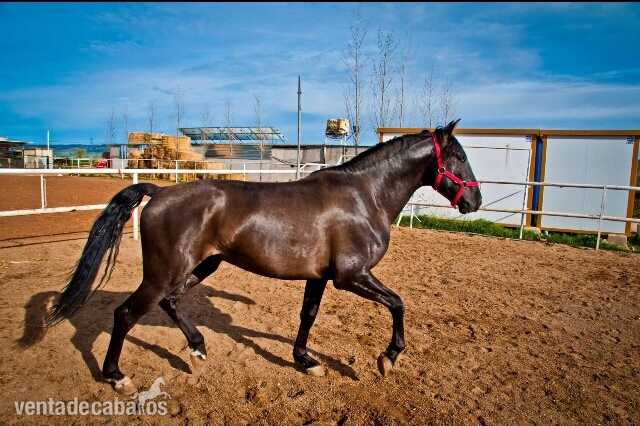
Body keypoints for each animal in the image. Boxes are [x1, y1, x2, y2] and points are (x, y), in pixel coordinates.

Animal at [45, 119, 481, 395]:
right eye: (459, 157)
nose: (475, 201)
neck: (364, 195)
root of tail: (160, 191)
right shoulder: (351, 275)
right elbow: (398, 303)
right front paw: (388, 358)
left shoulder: (320, 277)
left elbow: (308, 316)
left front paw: (306, 360)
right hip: (164, 272)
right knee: (125, 314)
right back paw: (117, 376)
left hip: (199, 266)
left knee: (169, 302)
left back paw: (198, 349)